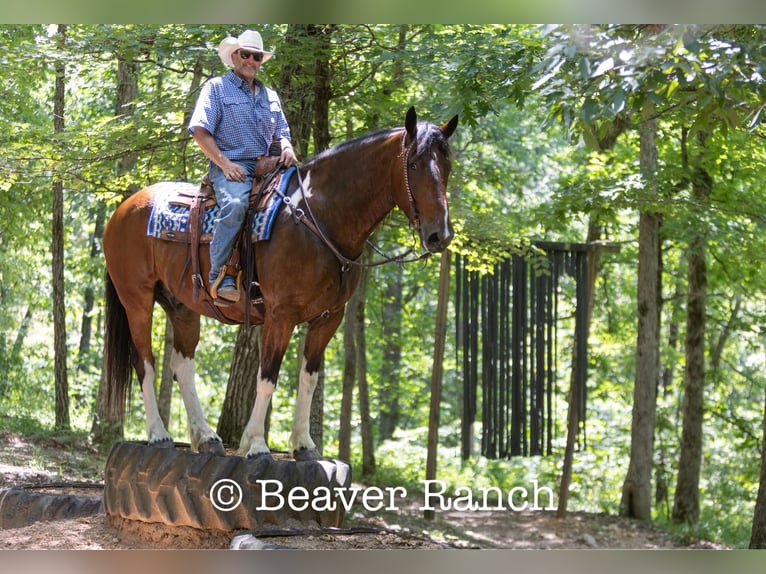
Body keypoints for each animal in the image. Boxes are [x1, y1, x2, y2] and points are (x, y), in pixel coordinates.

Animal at [102, 106, 458, 460]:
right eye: (413, 164)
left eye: (447, 166)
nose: (439, 235)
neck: (319, 217)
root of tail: (122, 209)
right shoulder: (281, 314)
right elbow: (268, 376)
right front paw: (257, 444)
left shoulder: (329, 319)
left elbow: (308, 379)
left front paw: (303, 444)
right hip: (136, 299)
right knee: (144, 362)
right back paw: (159, 434)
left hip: (182, 306)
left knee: (182, 365)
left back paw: (205, 437)